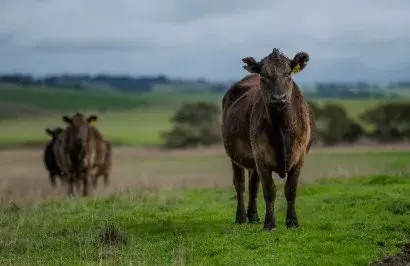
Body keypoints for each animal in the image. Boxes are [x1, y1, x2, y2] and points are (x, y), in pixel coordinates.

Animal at [221, 48, 314, 231]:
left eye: (288, 73)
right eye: (264, 75)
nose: (278, 98)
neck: (281, 129)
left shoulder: (299, 158)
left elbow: (291, 190)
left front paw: (292, 221)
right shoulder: (261, 158)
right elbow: (269, 191)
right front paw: (270, 223)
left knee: (253, 186)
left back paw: (253, 216)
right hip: (235, 158)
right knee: (240, 185)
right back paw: (241, 217)